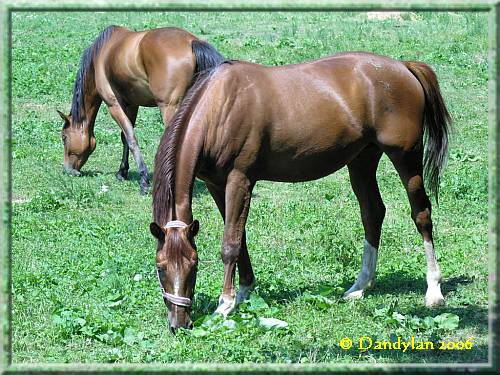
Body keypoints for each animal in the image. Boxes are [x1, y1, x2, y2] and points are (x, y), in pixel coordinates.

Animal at [56, 24, 225, 194]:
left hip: (170, 108)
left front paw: (143, 180)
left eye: (64, 137)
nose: (68, 170)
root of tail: (191, 41)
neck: (103, 52)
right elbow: (124, 137)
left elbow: (131, 138)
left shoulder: (114, 105)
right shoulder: (131, 105)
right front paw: (122, 171)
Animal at [148, 52, 450, 332]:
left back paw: (433, 290)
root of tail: (403, 66)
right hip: (362, 160)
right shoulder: (216, 185)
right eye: (160, 267)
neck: (219, 107)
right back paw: (361, 286)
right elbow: (240, 238)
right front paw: (245, 292)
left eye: (194, 264)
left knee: (421, 214)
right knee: (372, 214)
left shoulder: (239, 180)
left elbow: (230, 244)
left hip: (406, 157)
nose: (179, 324)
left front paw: (225, 305)